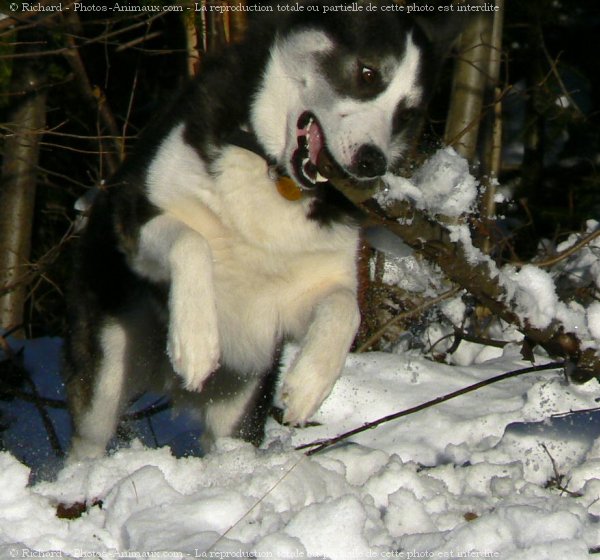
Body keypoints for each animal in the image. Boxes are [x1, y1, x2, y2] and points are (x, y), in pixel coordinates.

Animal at [65, 2, 458, 462]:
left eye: (407, 113)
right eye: (367, 73)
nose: (371, 161)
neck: (276, 176)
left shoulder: (295, 299)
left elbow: (346, 307)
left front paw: (309, 385)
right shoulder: (136, 216)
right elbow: (192, 242)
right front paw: (196, 344)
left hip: (242, 398)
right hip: (108, 365)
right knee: (90, 434)